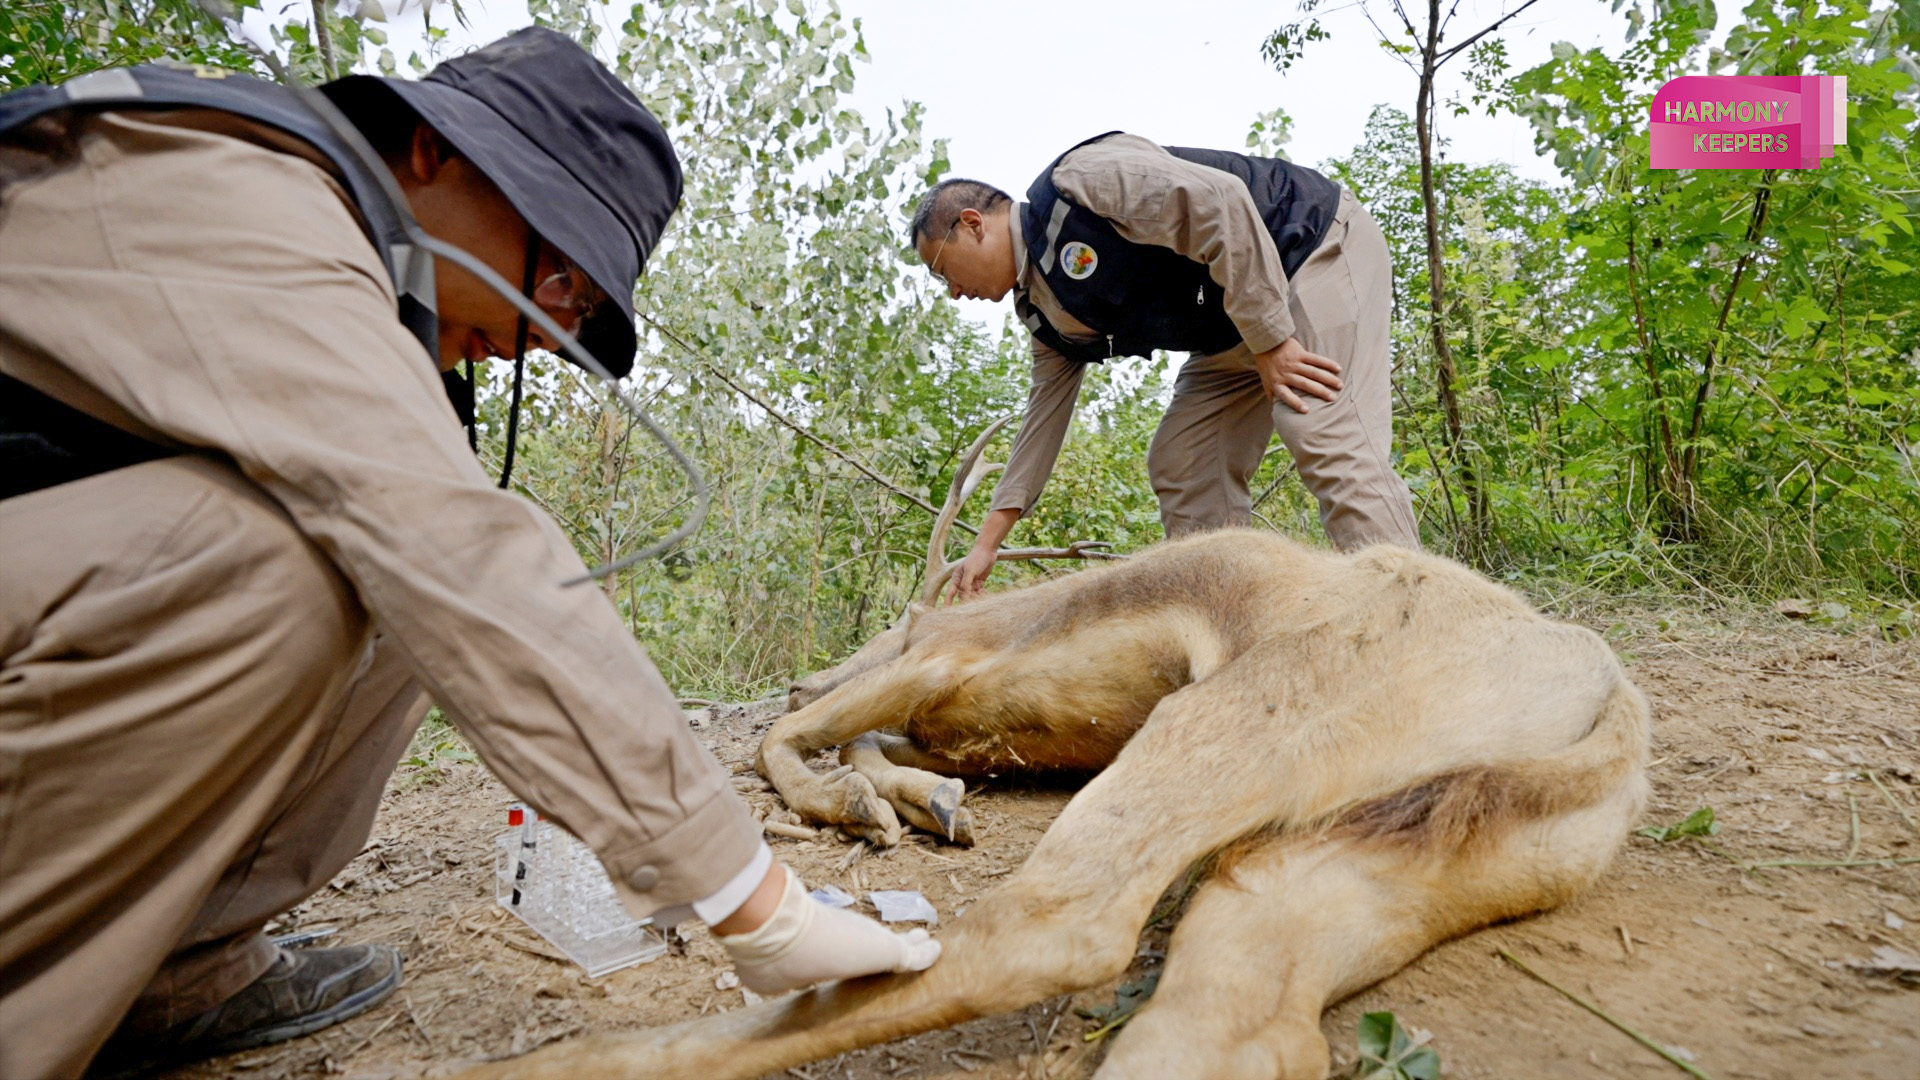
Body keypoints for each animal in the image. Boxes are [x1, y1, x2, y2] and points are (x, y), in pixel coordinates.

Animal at [464, 420, 1651, 1076]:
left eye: (888, 620)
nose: (809, 669)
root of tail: (1607, 696)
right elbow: (873, 748)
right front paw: (920, 803)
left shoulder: (939, 663)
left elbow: (784, 739)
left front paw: (866, 802)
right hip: (1345, 863)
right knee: (1233, 1033)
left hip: (1219, 737)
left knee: (1050, 929)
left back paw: (552, 1063)